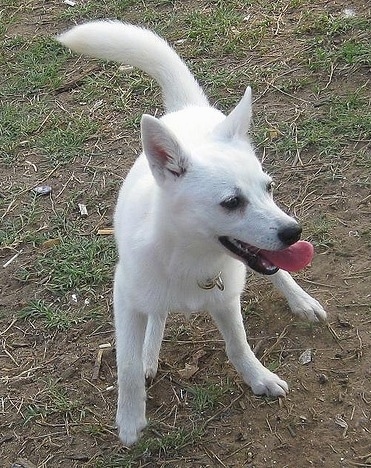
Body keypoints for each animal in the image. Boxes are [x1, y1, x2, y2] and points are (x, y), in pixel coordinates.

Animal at [56, 22, 326, 446]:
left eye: (267, 187)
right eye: (231, 202)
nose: (294, 232)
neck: (188, 258)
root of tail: (187, 109)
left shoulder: (226, 299)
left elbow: (238, 345)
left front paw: (259, 378)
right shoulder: (125, 298)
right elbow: (127, 365)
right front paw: (130, 418)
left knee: (276, 272)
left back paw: (300, 299)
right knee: (155, 315)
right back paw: (151, 349)